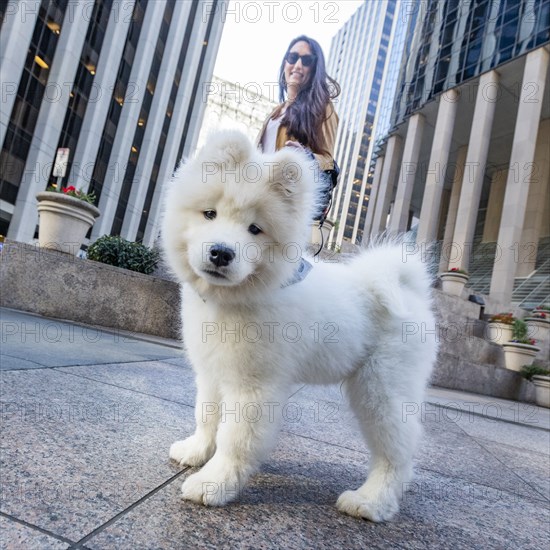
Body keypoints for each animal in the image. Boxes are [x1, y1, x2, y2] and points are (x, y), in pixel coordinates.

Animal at [162, 132, 438, 524]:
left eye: (255, 229)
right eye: (210, 213)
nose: (221, 252)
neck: (236, 298)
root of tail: (408, 287)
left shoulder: (254, 386)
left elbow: (236, 439)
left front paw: (212, 484)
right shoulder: (213, 371)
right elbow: (207, 414)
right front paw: (196, 451)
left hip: (381, 388)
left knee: (396, 450)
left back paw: (371, 502)